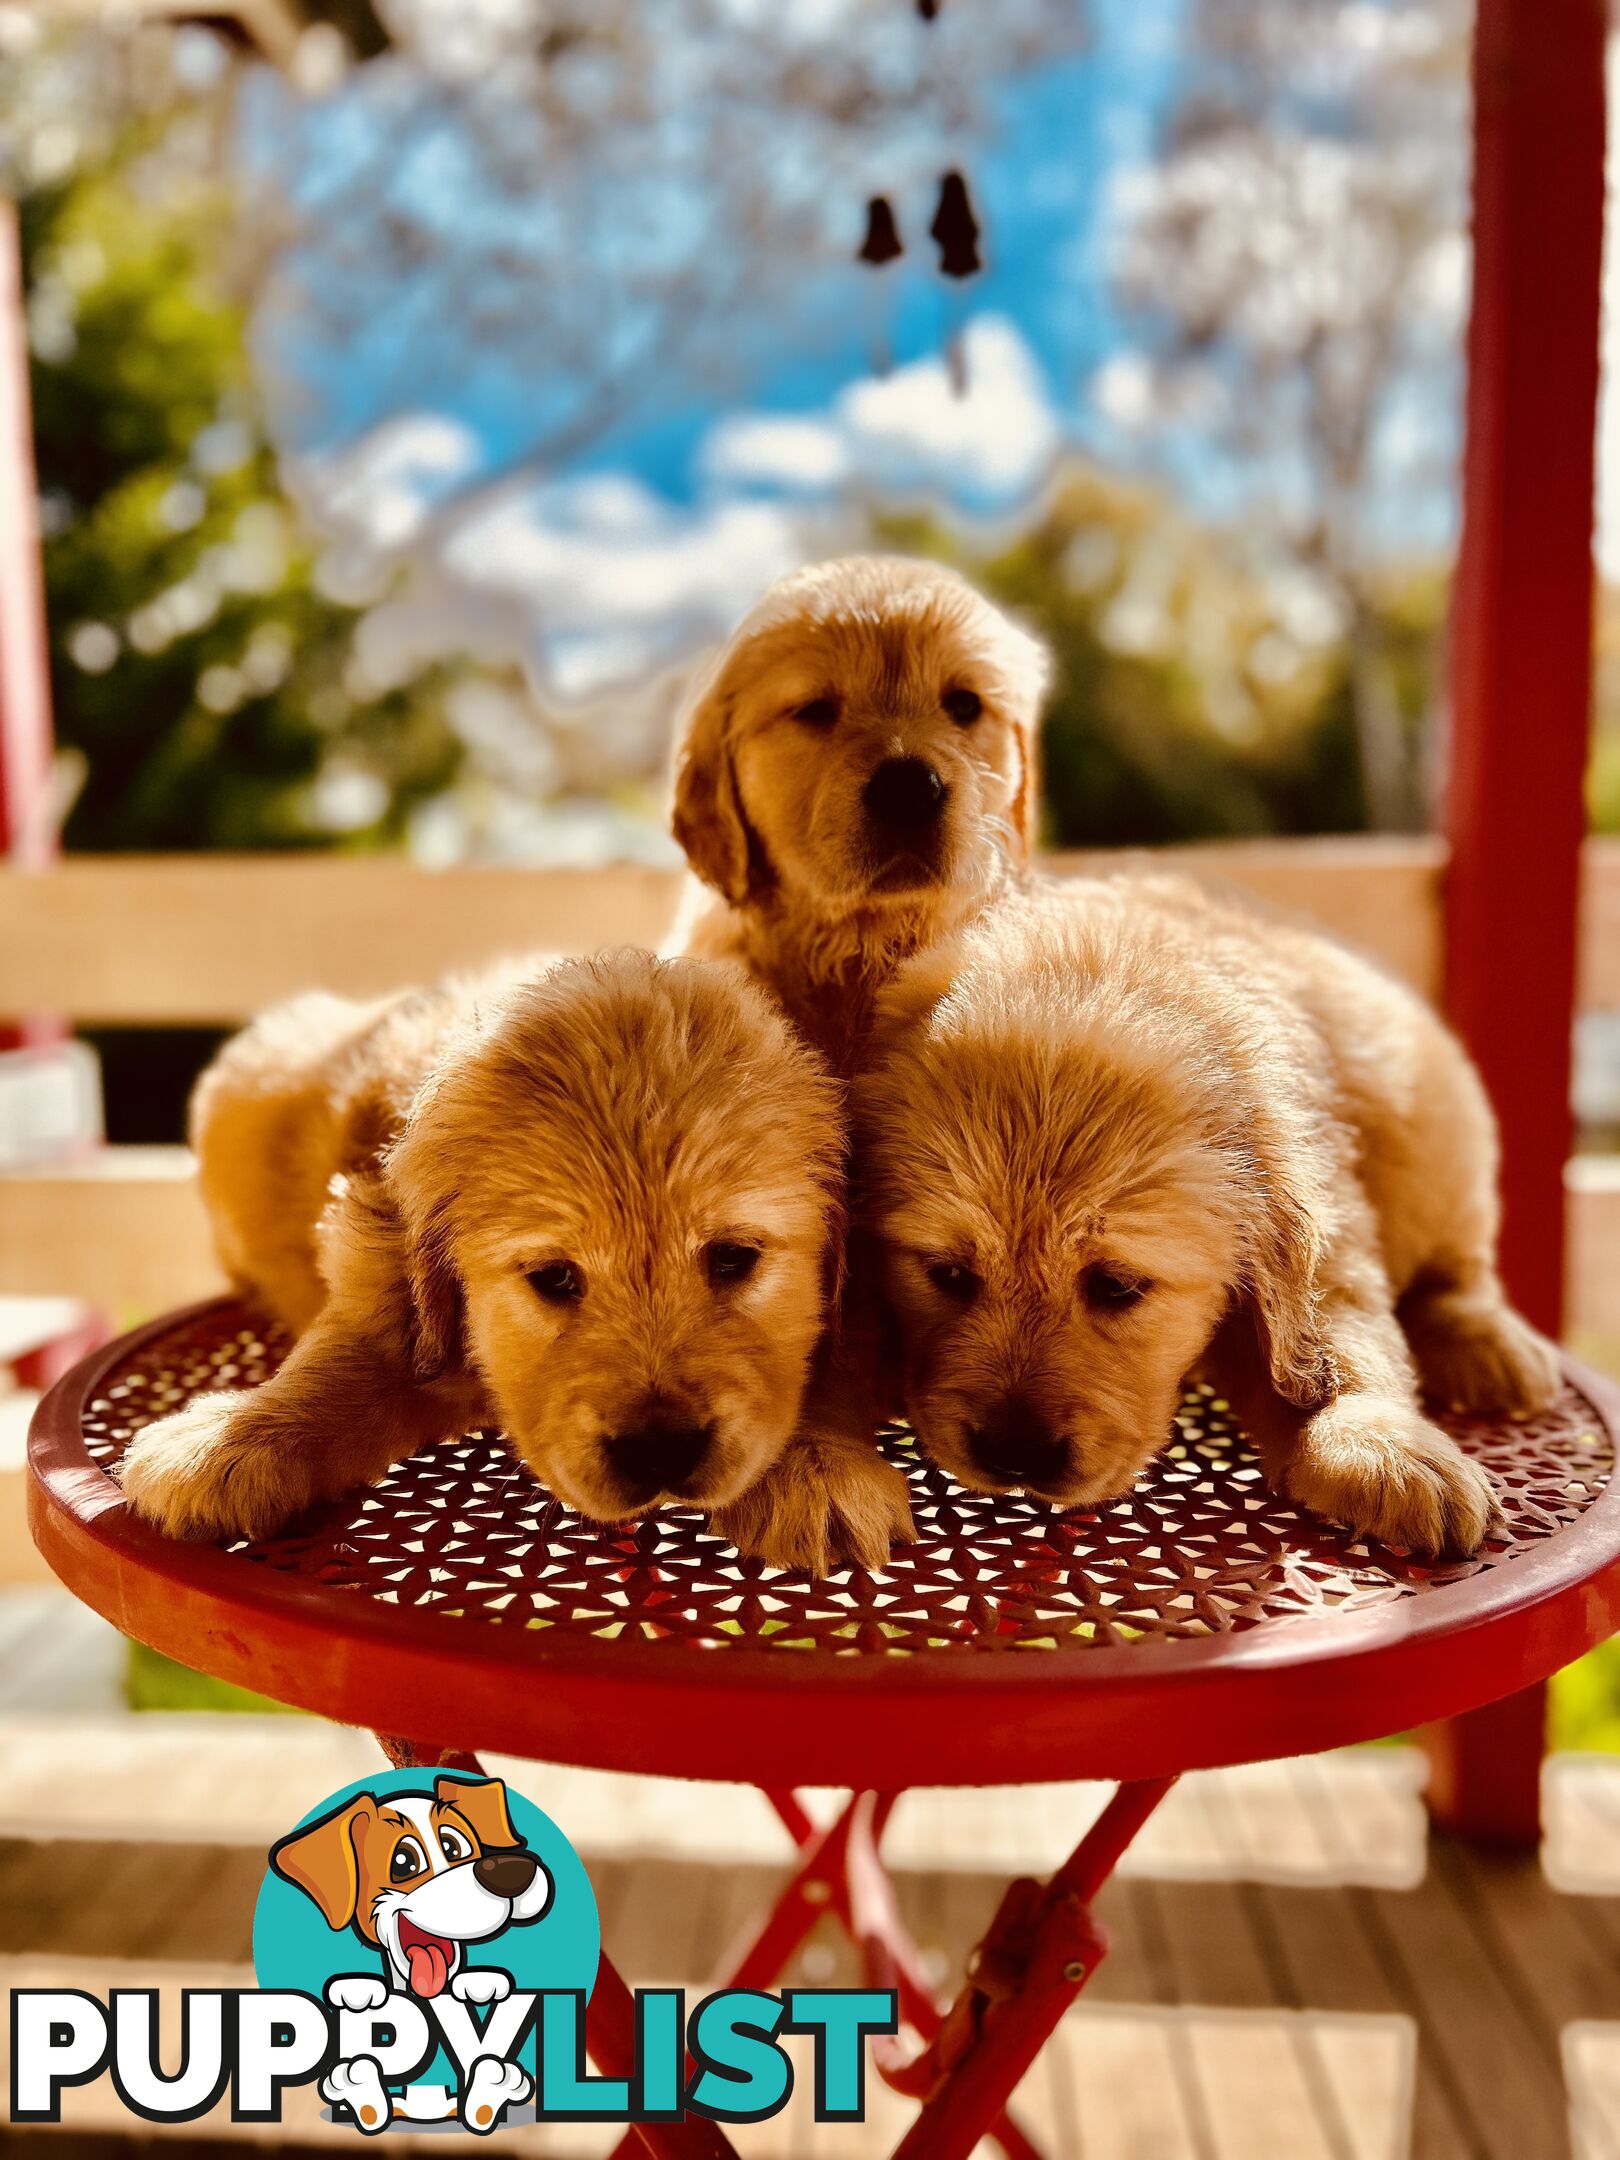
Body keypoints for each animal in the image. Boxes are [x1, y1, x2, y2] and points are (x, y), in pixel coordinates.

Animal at [115, 954, 851, 1563]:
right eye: (554, 1277)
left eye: (732, 1258)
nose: (660, 1446)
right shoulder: (383, 1267)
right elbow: (342, 1362)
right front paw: (227, 1442)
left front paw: (815, 1466)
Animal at [851, 876, 1563, 1555]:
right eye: (948, 1274)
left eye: (1116, 1286)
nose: (1014, 1455)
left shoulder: (1326, 1216)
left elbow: (1345, 1326)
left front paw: (1384, 1446)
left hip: (1441, 1134)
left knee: (1460, 1266)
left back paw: (1487, 1345)